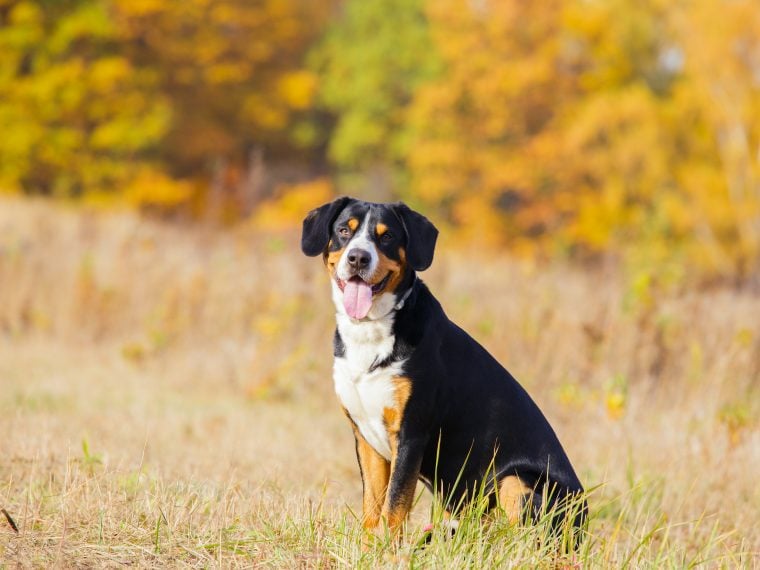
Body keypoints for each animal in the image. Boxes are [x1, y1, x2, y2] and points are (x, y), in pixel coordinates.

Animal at [300, 196, 584, 536]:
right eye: (344, 230)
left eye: (387, 236)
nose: (358, 258)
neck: (370, 332)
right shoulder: (365, 437)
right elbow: (372, 509)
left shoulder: (411, 433)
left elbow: (394, 508)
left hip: (517, 481)